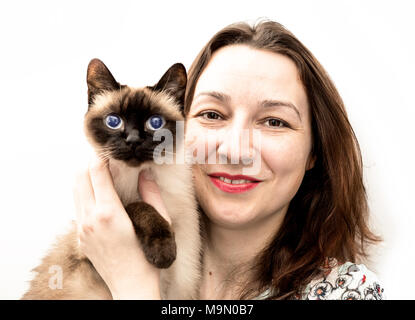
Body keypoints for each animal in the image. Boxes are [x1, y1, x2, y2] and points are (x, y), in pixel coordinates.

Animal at [22, 58, 202, 298]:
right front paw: (164, 253)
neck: (136, 176)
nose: (133, 141)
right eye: (113, 121)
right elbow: (138, 205)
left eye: (155, 123)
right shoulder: (87, 246)